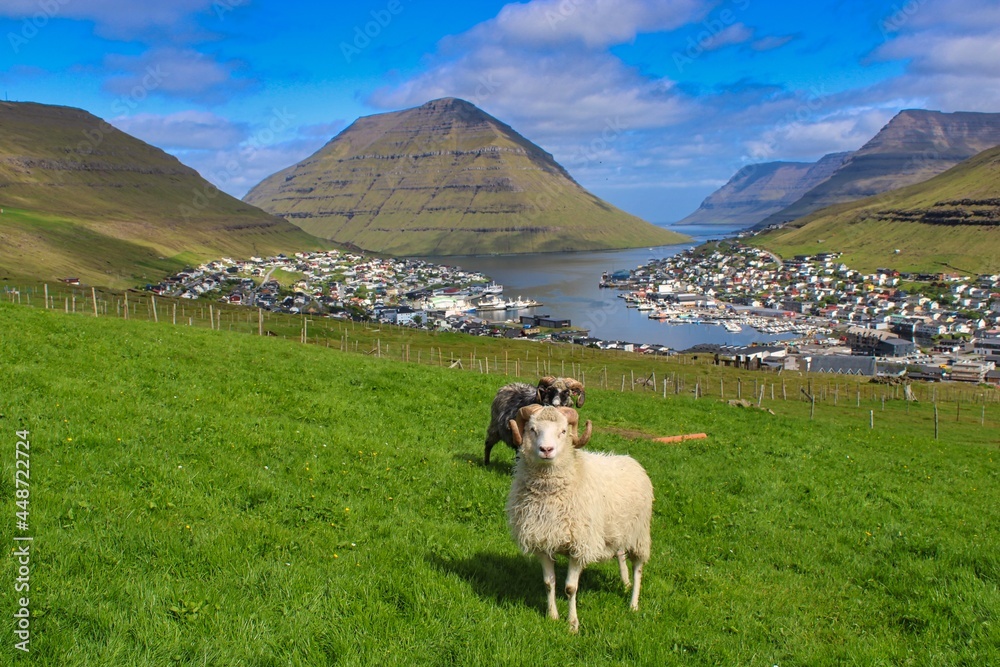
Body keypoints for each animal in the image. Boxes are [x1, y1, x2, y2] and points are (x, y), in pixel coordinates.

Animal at [505, 404, 653, 633]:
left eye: (563, 431)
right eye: (532, 429)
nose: (546, 450)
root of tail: (630, 460)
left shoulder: (579, 546)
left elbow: (570, 588)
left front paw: (572, 624)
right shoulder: (542, 542)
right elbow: (549, 583)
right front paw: (552, 616)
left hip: (639, 534)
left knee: (638, 568)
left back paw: (633, 603)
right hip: (616, 531)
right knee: (620, 555)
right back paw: (625, 582)